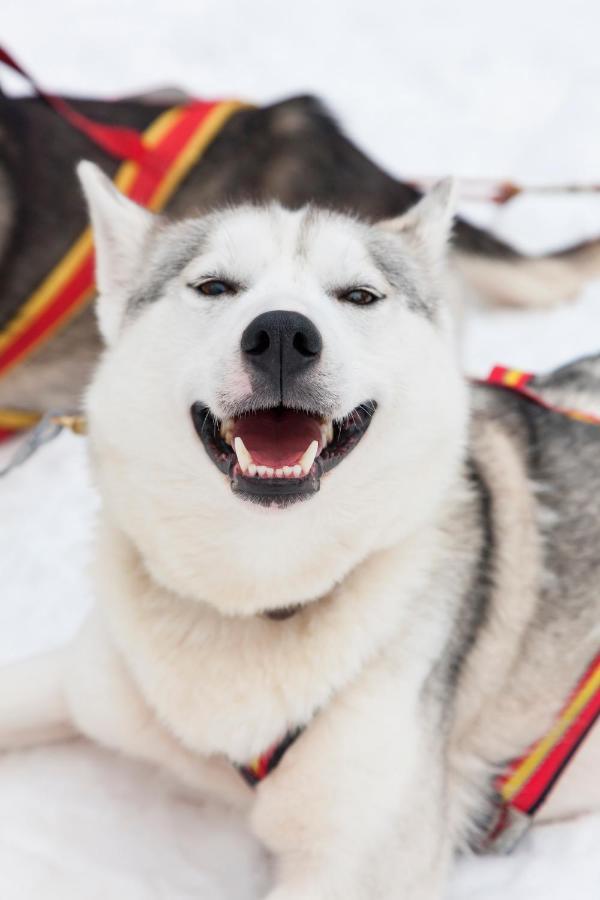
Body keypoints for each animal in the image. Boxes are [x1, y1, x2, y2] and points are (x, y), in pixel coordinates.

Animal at [1, 163, 600, 900]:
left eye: (360, 295)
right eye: (214, 285)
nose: (283, 333)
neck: (259, 598)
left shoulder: (356, 866)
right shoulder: (77, 679)